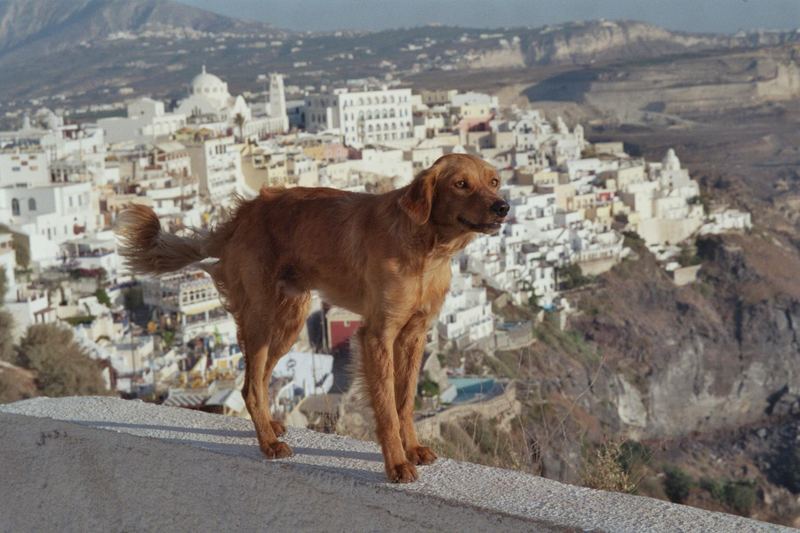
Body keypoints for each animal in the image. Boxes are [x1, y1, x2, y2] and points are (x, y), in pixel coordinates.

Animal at [116, 152, 510, 480]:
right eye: (460, 184)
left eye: (493, 181)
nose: (503, 207)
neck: (427, 248)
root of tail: (243, 214)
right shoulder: (377, 334)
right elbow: (385, 407)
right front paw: (396, 463)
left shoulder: (414, 334)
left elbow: (405, 401)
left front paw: (412, 448)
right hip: (263, 318)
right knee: (251, 386)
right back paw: (268, 444)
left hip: (288, 323)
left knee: (257, 381)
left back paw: (270, 427)